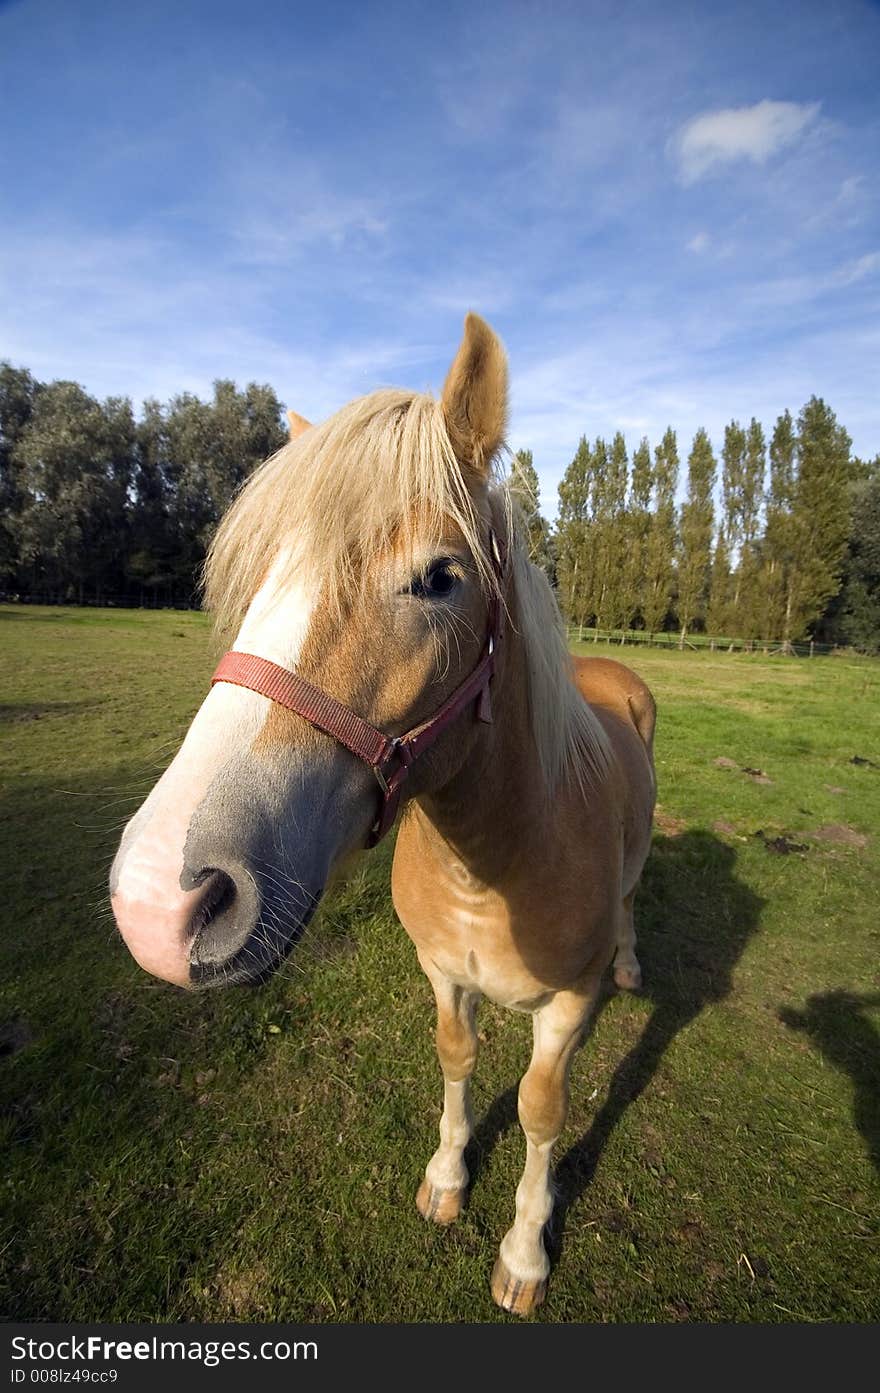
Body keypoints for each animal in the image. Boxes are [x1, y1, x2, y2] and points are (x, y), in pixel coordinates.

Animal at [110, 316, 657, 1314]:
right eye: (264, 577)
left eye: (439, 578)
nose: (159, 900)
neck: (492, 865)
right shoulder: (440, 972)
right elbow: (456, 1057)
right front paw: (446, 1180)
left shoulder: (566, 1008)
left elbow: (541, 1110)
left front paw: (525, 1252)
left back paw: (633, 963)